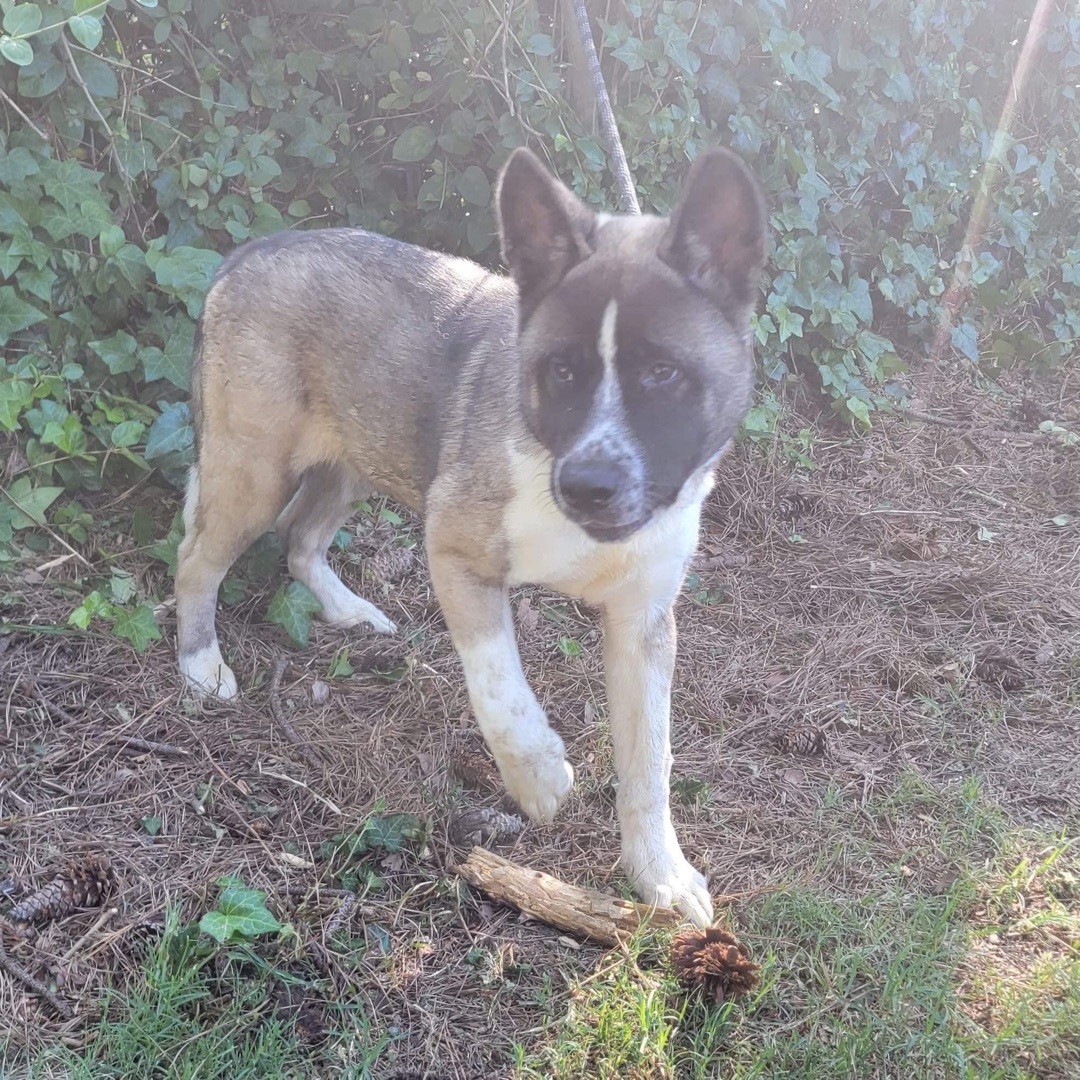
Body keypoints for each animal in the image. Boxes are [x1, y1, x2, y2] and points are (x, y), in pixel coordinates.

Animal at [174, 145, 768, 928]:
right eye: (562, 370)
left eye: (663, 373)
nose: (588, 485)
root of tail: (250, 252)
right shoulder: (455, 553)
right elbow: (500, 688)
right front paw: (539, 777)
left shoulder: (643, 623)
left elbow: (649, 764)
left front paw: (659, 873)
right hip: (253, 470)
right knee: (198, 559)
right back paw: (201, 665)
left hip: (356, 457)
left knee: (299, 535)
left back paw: (347, 611)